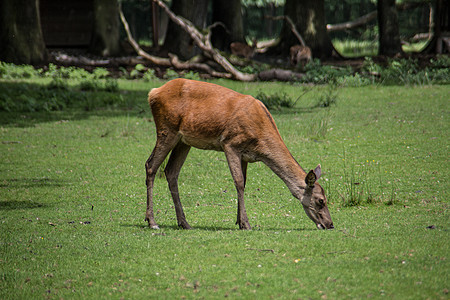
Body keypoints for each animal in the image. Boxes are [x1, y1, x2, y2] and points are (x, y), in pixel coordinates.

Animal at [145, 78, 334, 231]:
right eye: (320, 201)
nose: (330, 224)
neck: (261, 142)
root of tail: (153, 92)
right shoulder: (230, 144)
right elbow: (239, 182)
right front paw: (246, 223)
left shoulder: (246, 156)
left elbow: (244, 182)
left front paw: (239, 221)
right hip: (166, 129)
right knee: (151, 166)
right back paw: (152, 221)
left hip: (184, 141)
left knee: (171, 171)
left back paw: (184, 223)